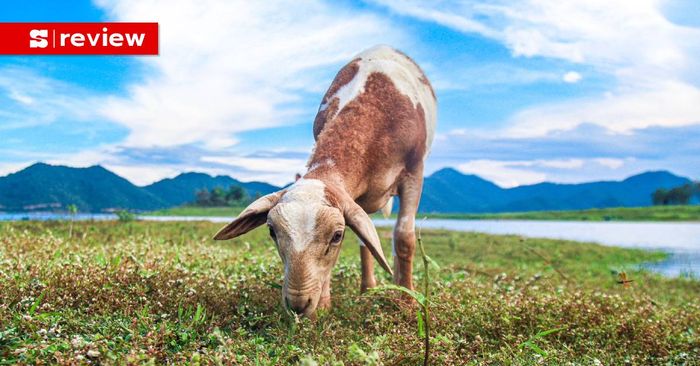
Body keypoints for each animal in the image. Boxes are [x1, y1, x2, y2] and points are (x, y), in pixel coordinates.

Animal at [213, 44, 434, 316]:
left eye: (337, 236)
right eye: (272, 231)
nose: (298, 305)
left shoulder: (415, 171)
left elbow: (403, 238)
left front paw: (408, 301)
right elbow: (363, 239)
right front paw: (325, 306)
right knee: (365, 240)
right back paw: (367, 289)